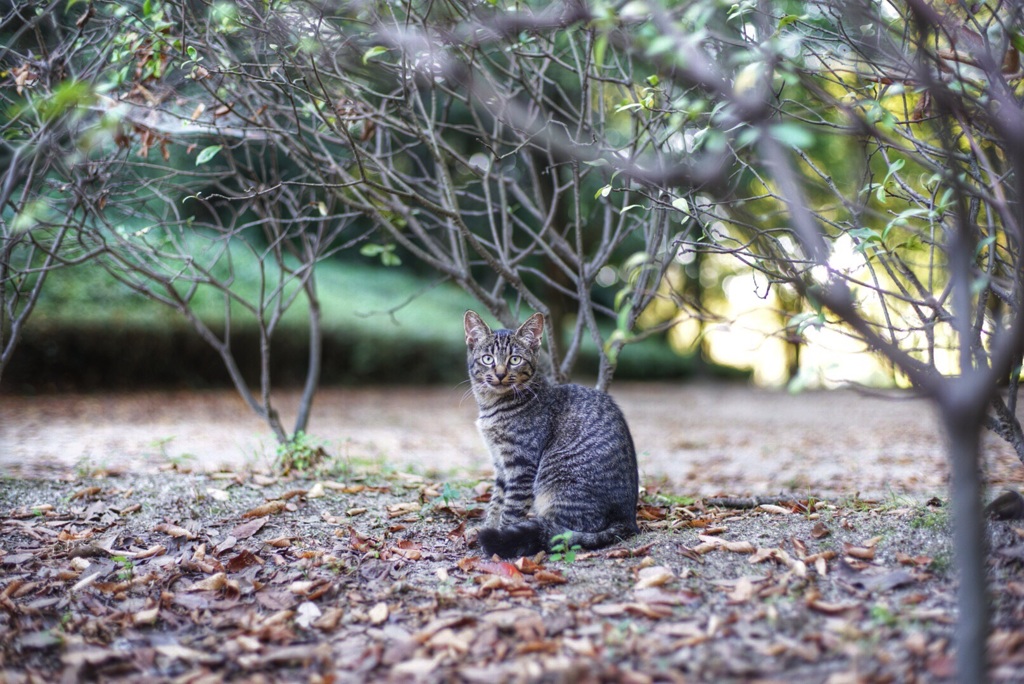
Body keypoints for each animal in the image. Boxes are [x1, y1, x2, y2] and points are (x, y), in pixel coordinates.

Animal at [462, 313, 634, 557]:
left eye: (515, 360)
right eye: (488, 359)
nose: (500, 374)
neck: (493, 406)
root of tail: (628, 519)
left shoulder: (521, 464)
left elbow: (511, 508)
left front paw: (500, 535)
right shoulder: (500, 463)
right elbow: (496, 501)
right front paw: (487, 526)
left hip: (555, 483)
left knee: (564, 531)